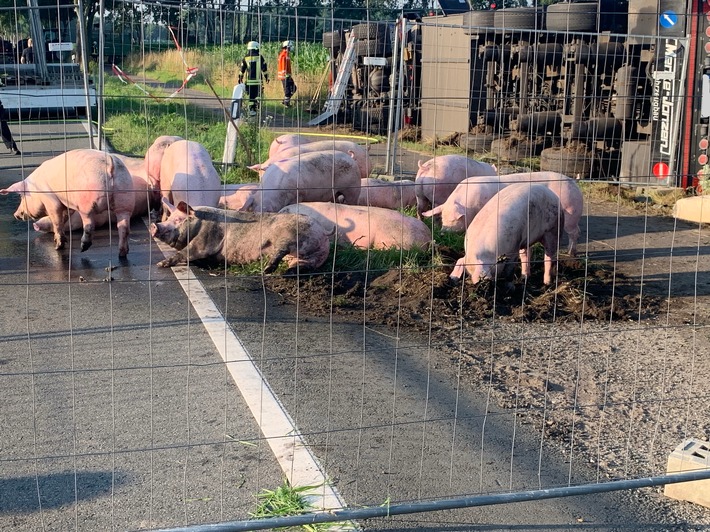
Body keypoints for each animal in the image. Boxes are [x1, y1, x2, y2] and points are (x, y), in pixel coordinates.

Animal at [0, 150, 135, 258]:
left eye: (21, 196)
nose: (16, 214)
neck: (36, 189)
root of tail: (110, 165)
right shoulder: (66, 205)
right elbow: (64, 218)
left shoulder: (50, 200)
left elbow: (57, 220)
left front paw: (58, 247)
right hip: (125, 198)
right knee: (124, 227)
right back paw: (122, 254)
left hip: (87, 204)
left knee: (90, 225)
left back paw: (83, 248)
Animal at [152, 200, 334, 274]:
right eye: (168, 218)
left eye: (178, 219)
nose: (155, 226)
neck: (200, 221)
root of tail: (323, 231)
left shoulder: (207, 237)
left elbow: (187, 252)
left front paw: (159, 264)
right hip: (313, 256)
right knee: (304, 265)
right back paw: (286, 272)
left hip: (290, 233)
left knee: (281, 249)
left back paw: (267, 270)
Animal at [422, 169, 584, 255]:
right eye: (443, 219)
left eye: (454, 220)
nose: (443, 233)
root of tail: (573, 182)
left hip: (570, 211)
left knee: (575, 232)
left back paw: (570, 253)